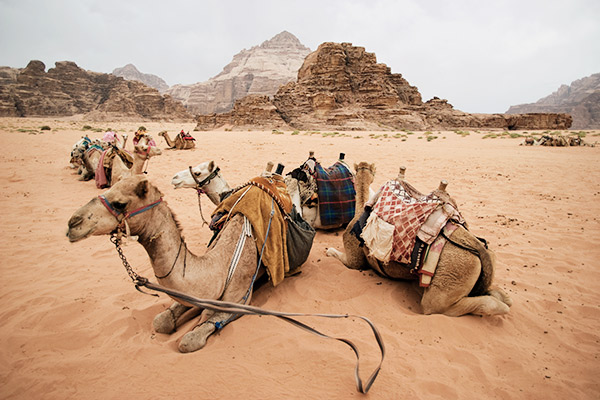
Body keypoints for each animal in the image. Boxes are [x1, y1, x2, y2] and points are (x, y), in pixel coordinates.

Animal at [67, 177, 258, 352]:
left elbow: (190, 340)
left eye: (120, 204)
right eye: (107, 190)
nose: (73, 223)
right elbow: (161, 321)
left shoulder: (241, 300)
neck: (223, 261)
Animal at [326, 164, 512, 318]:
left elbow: (348, 260)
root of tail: (479, 248)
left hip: (452, 277)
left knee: (438, 306)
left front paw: (328, 250)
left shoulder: (354, 254)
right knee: (498, 294)